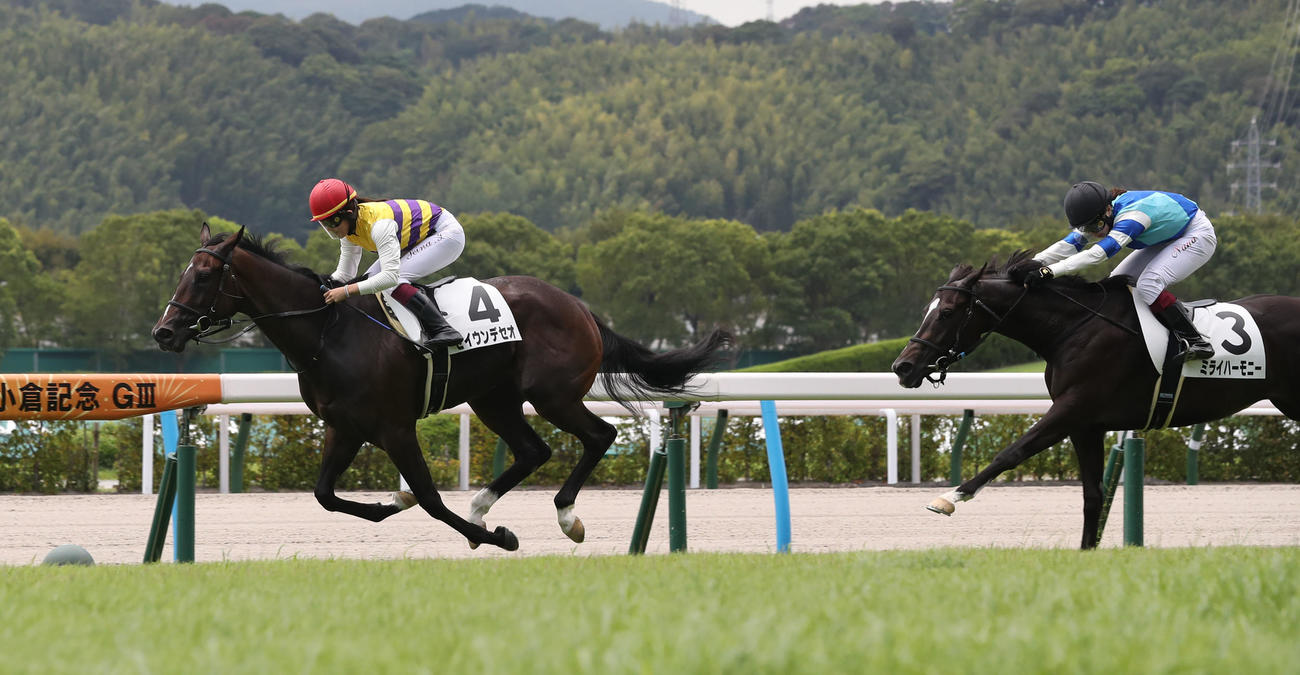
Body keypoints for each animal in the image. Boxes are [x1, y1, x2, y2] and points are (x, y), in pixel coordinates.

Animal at [152, 224, 730, 551]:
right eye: (183, 273)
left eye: (203, 277)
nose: (165, 332)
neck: (328, 333)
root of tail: (580, 307)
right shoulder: (345, 427)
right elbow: (325, 495)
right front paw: (392, 503)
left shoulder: (394, 426)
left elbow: (430, 498)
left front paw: (494, 538)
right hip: (494, 398)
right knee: (534, 450)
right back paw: (480, 505)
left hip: (553, 394)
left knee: (598, 436)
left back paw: (564, 516)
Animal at [890, 250, 1300, 549]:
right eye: (928, 311)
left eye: (946, 313)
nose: (902, 367)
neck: (1073, 328)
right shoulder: (1085, 425)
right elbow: (1093, 494)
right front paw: (1087, 551)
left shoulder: (1072, 408)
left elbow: (1011, 453)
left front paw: (951, 497)